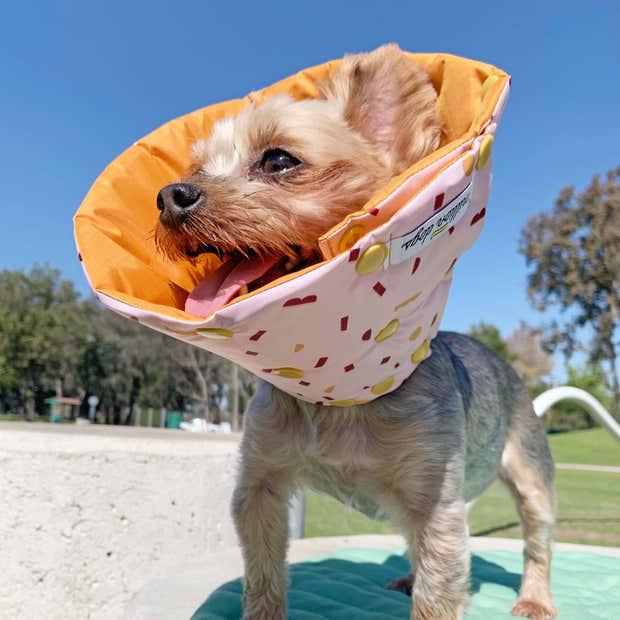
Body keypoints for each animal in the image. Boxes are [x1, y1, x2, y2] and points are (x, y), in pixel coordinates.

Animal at [155, 44, 556, 620]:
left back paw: (535, 599)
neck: (341, 391)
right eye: (197, 167)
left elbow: (439, 590)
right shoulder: (260, 484)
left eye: (279, 160)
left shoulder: (436, 497)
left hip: (529, 470)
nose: (169, 195)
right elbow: (262, 573)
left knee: (536, 536)